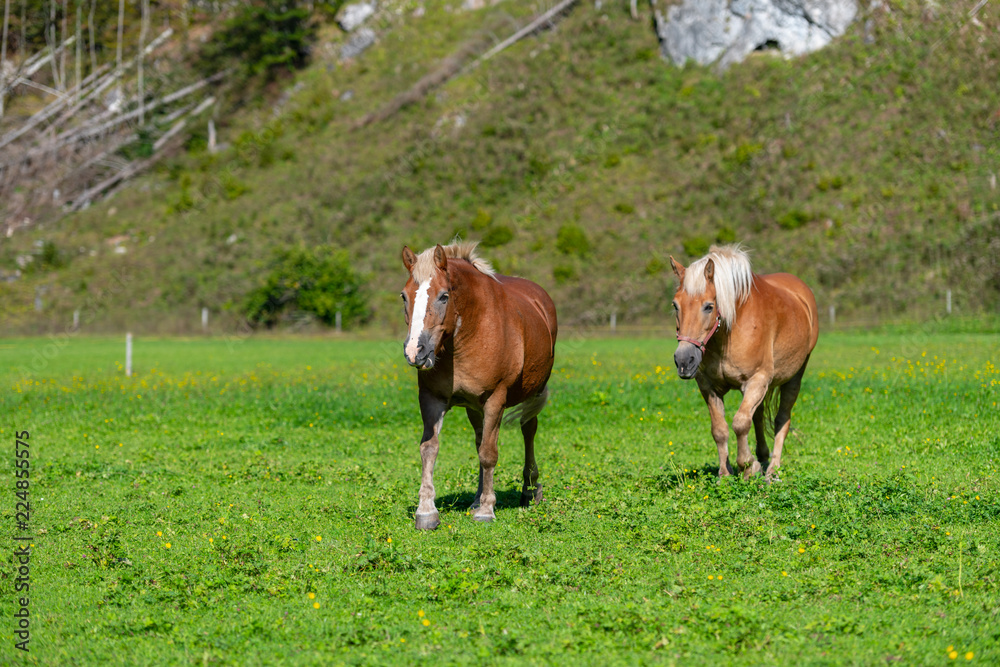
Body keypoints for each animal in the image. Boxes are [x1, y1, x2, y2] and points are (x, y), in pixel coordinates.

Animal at [400, 241, 558, 529]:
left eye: (444, 296)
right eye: (404, 297)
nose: (415, 351)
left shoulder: (496, 399)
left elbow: (488, 453)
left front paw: (486, 509)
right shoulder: (431, 398)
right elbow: (429, 449)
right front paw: (426, 511)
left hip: (533, 394)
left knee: (528, 430)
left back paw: (529, 490)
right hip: (473, 407)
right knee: (479, 438)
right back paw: (475, 498)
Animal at [669, 244, 818, 480]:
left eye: (708, 306)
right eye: (675, 305)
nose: (684, 360)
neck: (730, 331)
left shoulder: (757, 380)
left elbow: (739, 423)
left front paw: (748, 466)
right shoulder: (708, 387)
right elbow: (720, 429)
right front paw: (725, 473)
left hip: (793, 377)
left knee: (781, 420)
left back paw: (772, 471)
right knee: (757, 416)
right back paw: (763, 457)